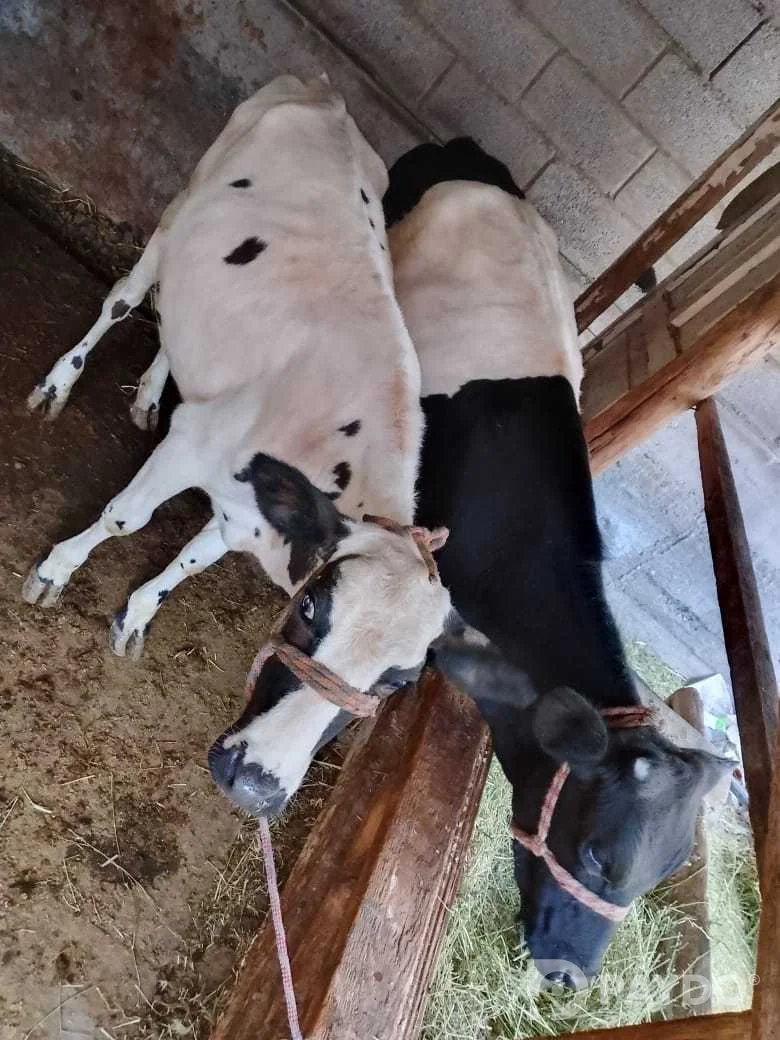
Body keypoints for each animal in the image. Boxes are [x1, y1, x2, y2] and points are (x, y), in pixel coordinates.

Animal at [22, 75, 451, 817]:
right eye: (309, 610)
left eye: (396, 681)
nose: (256, 784)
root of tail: (326, 94)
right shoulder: (189, 449)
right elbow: (124, 519)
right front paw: (57, 570)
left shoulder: (247, 508)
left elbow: (192, 564)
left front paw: (137, 615)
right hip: (179, 210)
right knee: (123, 300)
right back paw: (60, 382)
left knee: (173, 330)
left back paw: (149, 393)